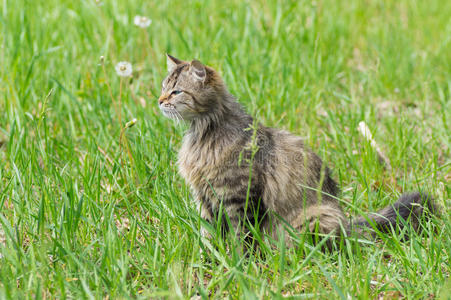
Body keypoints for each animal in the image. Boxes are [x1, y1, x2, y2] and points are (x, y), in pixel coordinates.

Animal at [159, 55, 438, 247]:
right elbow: (208, 235)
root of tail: (348, 224)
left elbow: (242, 237)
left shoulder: (239, 197)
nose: (159, 101)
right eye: (163, 88)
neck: (201, 133)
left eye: (176, 91)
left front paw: (240, 265)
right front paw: (211, 259)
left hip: (315, 217)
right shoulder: (204, 199)